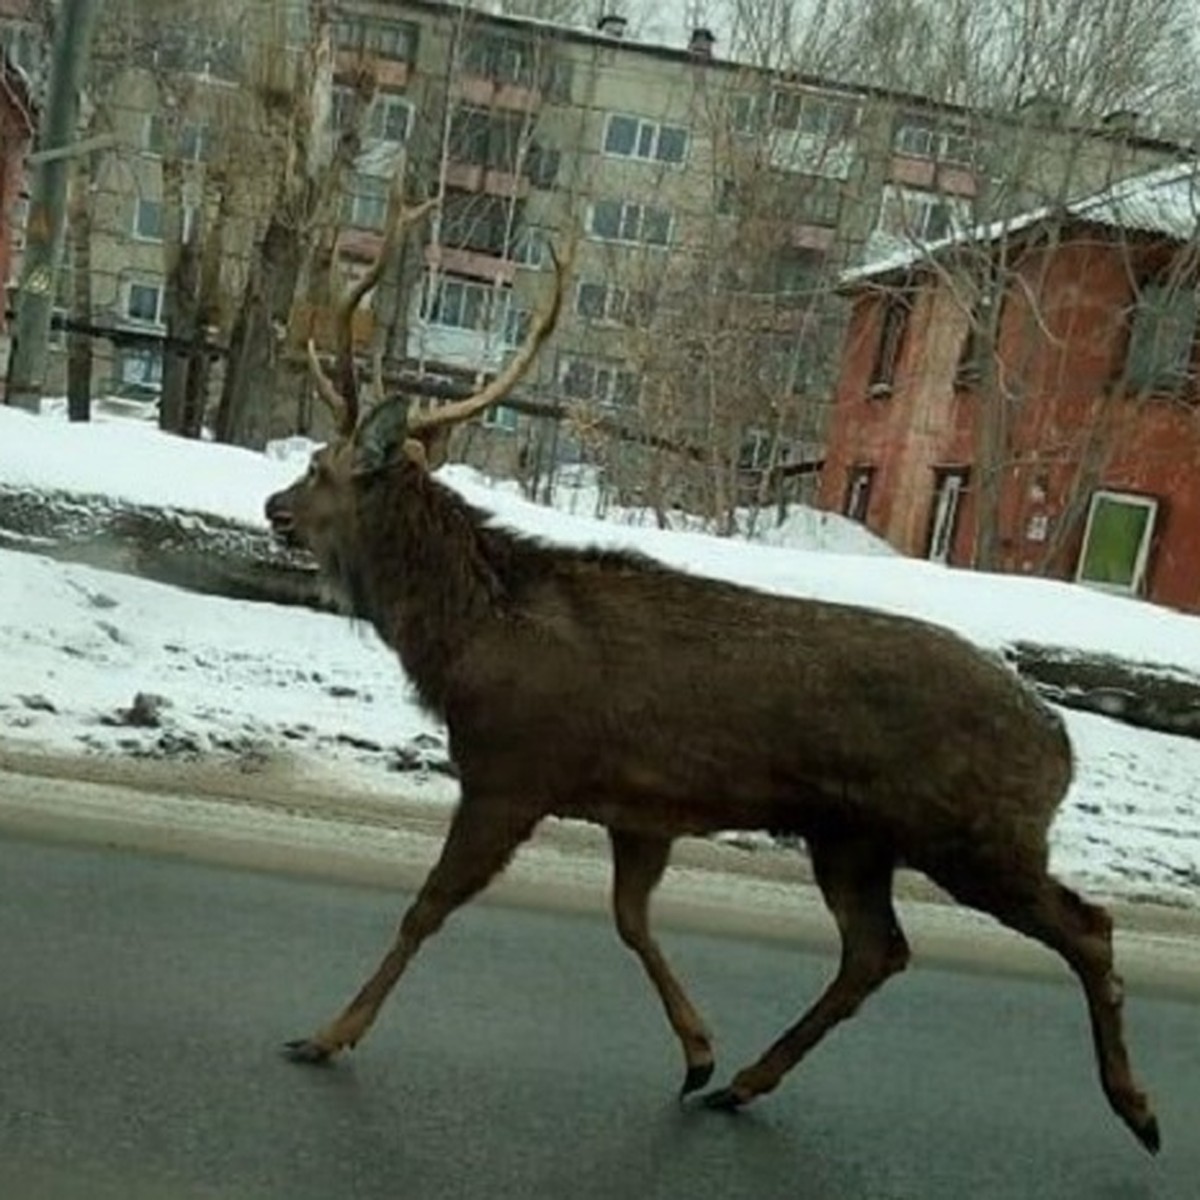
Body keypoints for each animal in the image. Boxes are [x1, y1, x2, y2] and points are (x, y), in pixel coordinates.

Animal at [265, 196, 1161, 1152]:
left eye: (318, 467)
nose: (273, 505)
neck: (468, 644)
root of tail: (1061, 744)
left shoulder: (513, 772)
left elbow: (427, 908)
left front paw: (328, 1033)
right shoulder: (638, 808)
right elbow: (631, 922)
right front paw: (697, 1052)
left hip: (975, 831)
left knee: (1089, 927)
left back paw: (1137, 1108)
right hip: (853, 836)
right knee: (877, 950)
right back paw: (744, 1081)